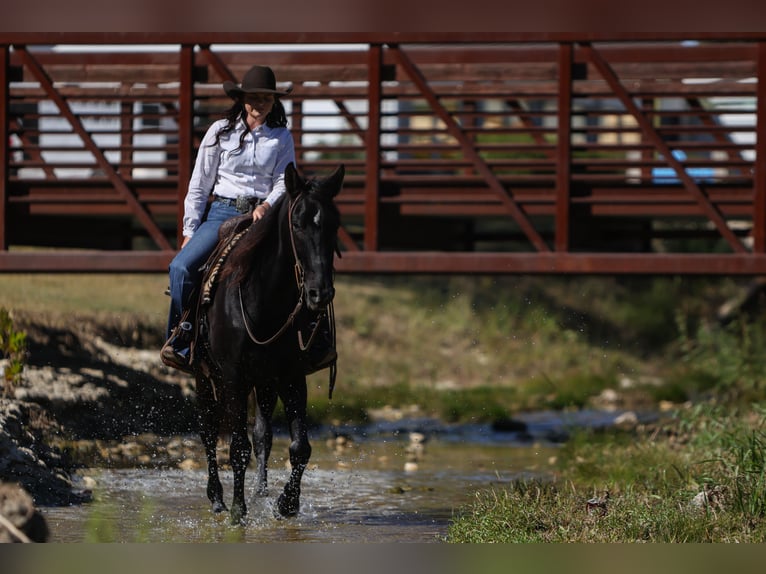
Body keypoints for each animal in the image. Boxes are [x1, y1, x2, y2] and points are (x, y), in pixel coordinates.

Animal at [193, 162, 344, 523]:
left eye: (335, 224)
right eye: (297, 223)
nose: (319, 293)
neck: (264, 300)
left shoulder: (291, 375)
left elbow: (300, 446)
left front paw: (286, 504)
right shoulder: (233, 376)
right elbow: (236, 447)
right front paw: (238, 510)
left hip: (263, 382)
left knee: (262, 434)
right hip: (205, 376)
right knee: (208, 431)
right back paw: (217, 498)